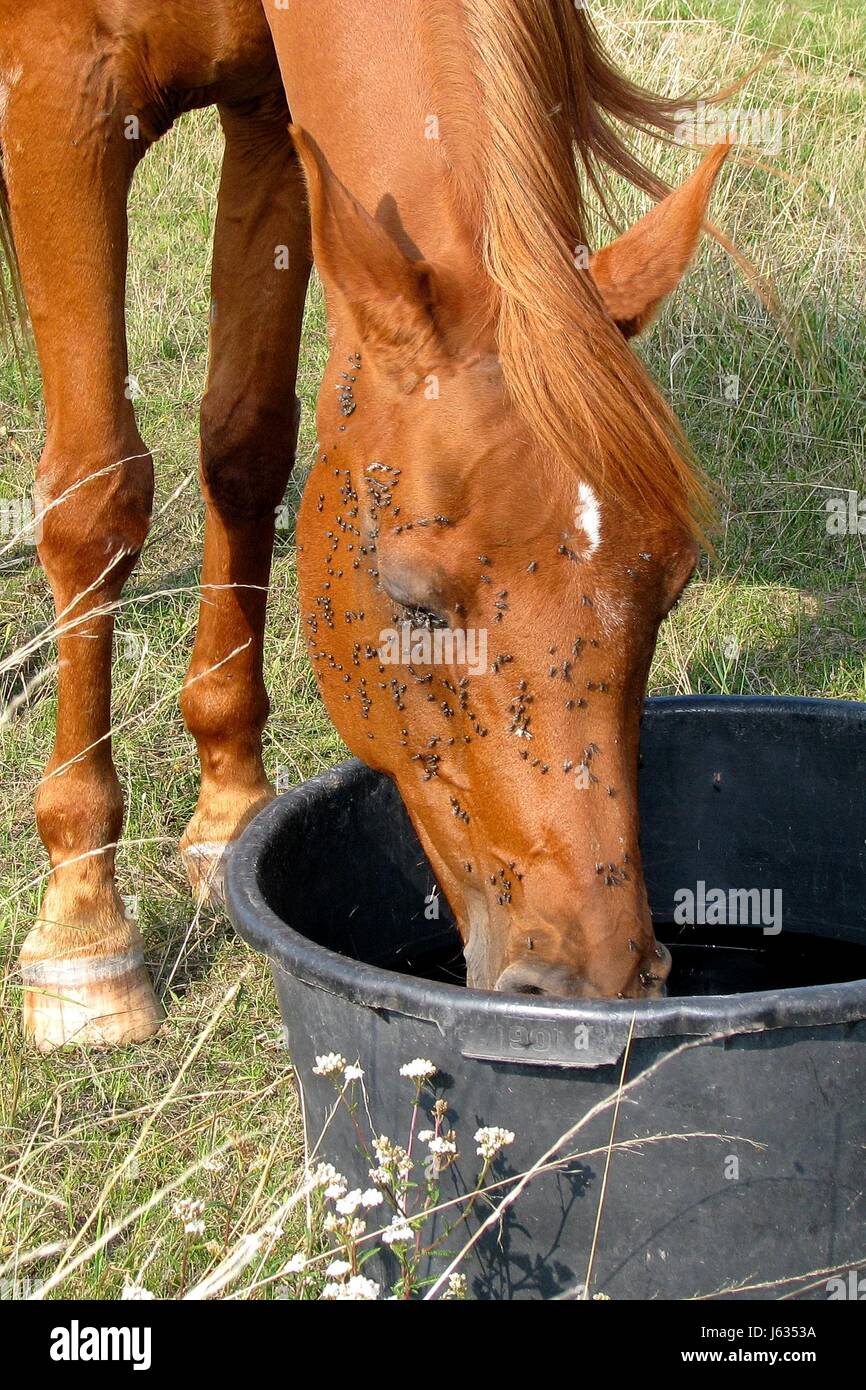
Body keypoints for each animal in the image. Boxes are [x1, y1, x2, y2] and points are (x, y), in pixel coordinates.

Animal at [0, 0, 733, 1045]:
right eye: (412, 600)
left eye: (670, 590)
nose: (597, 976)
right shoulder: (62, 88)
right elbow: (95, 496)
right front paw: (81, 929)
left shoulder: (270, 113)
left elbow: (245, 444)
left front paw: (228, 810)